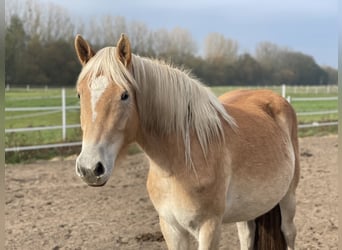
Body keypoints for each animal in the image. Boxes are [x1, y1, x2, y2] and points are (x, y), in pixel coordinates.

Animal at [74, 33, 300, 250]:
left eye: (124, 95)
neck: (179, 162)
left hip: (288, 196)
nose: (90, 168)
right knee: (247, 235)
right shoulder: (171, 227)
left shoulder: (209, 227)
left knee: (289, 232)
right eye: (79, 94)